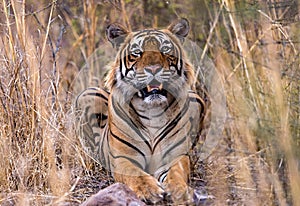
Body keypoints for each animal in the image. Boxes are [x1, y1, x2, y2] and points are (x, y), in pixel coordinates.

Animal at [75, 18, 209, 204]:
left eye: (165, 50)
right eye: (137, 53)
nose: (153, 69)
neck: (152, 111)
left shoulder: (176, 156)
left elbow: (176, 174)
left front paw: (180, 191)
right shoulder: (123, 159)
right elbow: (135, 174)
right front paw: (149, 191)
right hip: (88, 94)